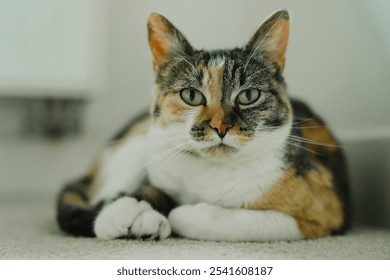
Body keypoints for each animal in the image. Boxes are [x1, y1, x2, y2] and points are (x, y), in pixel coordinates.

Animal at [57, 10, 350, 242]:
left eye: (248, 95)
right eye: (191, 95)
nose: (220, 127)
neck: (209, 174)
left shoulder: (321, 210)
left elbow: (232, 220)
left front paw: (179, 212)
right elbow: (148, 190)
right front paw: (121, 211)